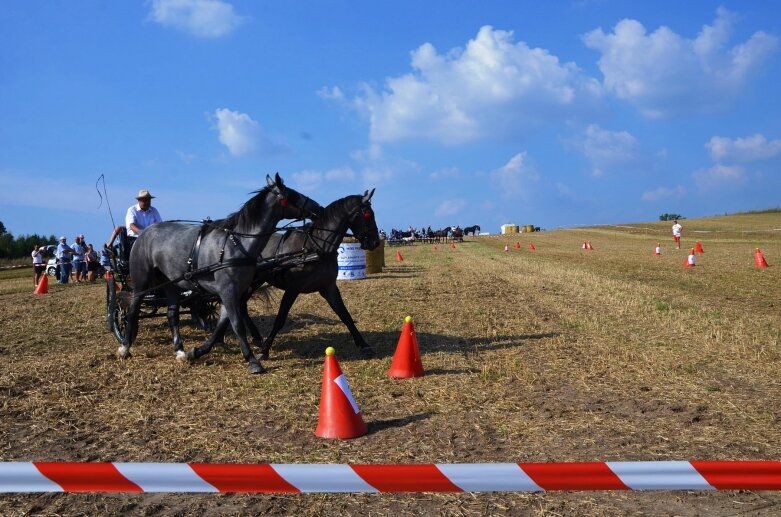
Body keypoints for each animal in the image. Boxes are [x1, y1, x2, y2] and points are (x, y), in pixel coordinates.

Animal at [116, 171, 322, 372]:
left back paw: (180, 351)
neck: (237, 244)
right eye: (293, 195)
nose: (318, 208)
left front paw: (197, 351)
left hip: (171, 283)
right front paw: (252, 360)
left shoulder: (233, 292)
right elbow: (237, 324)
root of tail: (144, 233)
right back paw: (125, 347)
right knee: (133, 310)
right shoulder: (228, 290)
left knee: (172, 314)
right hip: (141, 280)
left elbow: (223, 324)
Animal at [192, 187, 380, 360]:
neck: (315, 246)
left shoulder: (328, 287)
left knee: (240, 304)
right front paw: (265, 351)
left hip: (253, 281)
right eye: (368, 214)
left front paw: (363, 344)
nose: (375, 242)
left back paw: (247, 337)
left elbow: (345, 314)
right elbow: (280, 319)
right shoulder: (292, 289)